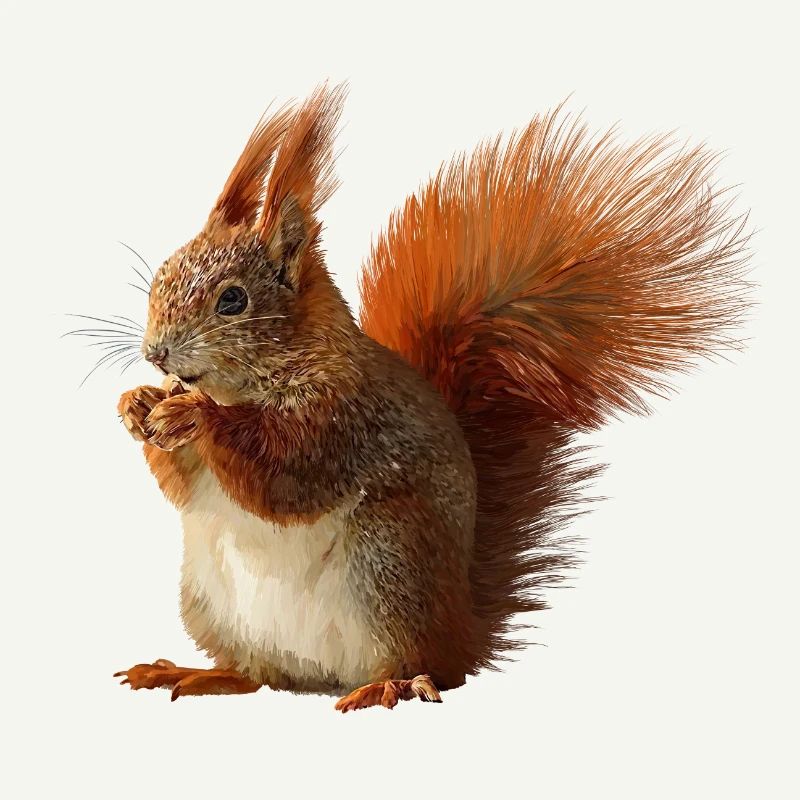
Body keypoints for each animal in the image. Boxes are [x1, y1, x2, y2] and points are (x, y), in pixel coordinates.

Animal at [111, 84, 749, 711]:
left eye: (233, 300)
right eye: (162, 273)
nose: (155, 353)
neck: (247, 385)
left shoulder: (342, 419)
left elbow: (283, 474)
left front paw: (195, 414)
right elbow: (183, 486)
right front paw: (137, 404)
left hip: (390, 562)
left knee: (427, 668)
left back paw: (388, 686)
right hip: (212, 600)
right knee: (259, 674)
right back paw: (197, 673)